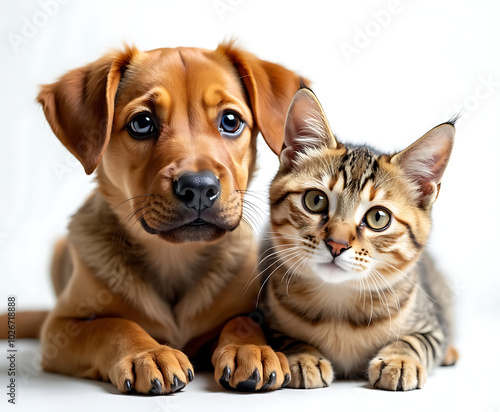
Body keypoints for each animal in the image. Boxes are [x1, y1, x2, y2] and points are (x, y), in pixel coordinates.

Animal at [28, 43, 304, 394]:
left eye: (230, 120)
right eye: (142, 122)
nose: (199, 188)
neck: (175, 256)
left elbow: (241, 320)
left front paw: (250, 348)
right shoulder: (60, 329)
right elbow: (112, 325)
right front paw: (148, 353)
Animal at [260, 88, 458, 392]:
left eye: (378, 218)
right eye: (315, 201)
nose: (337, 244)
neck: (339, 305)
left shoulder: (433, 326)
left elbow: (417, 340)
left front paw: (401, 360)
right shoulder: (264, 317)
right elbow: (281, 336)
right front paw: (303, 355)